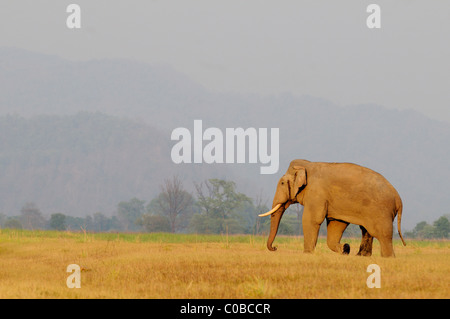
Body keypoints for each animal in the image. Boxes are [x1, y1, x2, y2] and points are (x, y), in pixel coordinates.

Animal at [258, 159, 406, 258]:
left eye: (282, 183)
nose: (275, 247)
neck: (308, 165)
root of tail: (398, 199)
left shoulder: (316, 193)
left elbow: (312, 219)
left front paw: (307, 254)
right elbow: (336, 223)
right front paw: (345, 249)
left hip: (381, 211)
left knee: (382, 233)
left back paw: (388, 258)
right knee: (366, 230)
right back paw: (361, 256)